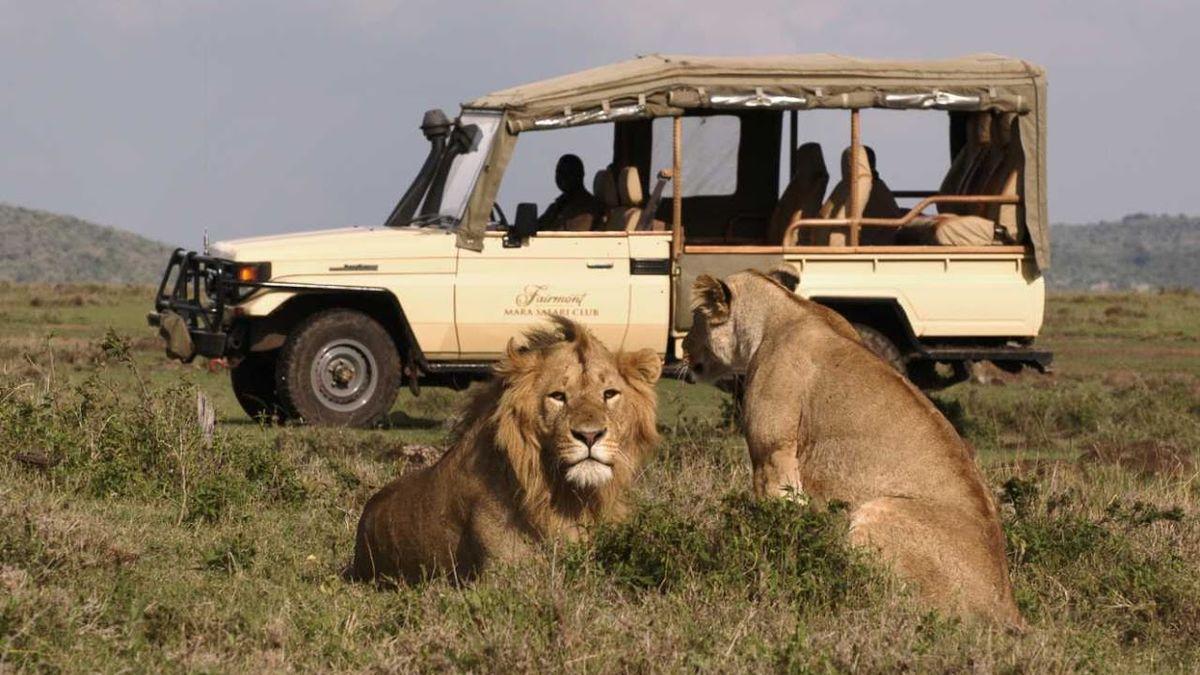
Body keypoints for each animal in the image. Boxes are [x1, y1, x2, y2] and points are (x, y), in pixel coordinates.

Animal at [686, 269, 1022, 624]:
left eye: (693, 319)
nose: (681, 347)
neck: (779, 309)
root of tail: (1008, 608)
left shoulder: (773, 455)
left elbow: (774, 528)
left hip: (877, 511)